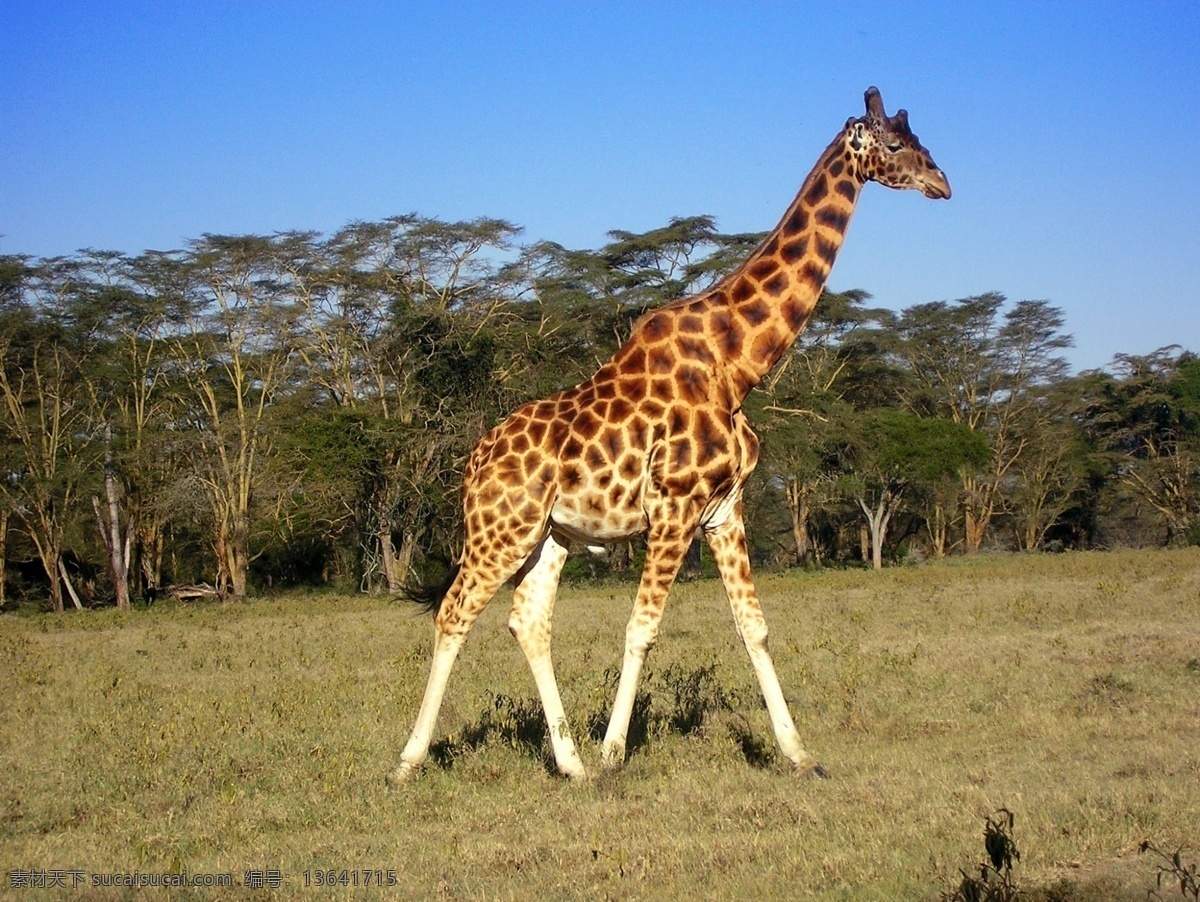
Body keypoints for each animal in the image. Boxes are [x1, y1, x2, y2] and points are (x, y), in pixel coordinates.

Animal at [388, 88, 950, 786]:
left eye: (921, 140)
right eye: (896, 144)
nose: (943, 183)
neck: (737, 364)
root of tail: (471, 464)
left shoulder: (724, 509)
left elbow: (754, 628)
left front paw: (799, 755)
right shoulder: (675, 506)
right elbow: (642, 629)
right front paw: (614, 751)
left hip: (550, 536)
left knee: (527, 620)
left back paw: (570, 765)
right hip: (500, 530)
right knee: (453, 614)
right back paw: (410, 760)